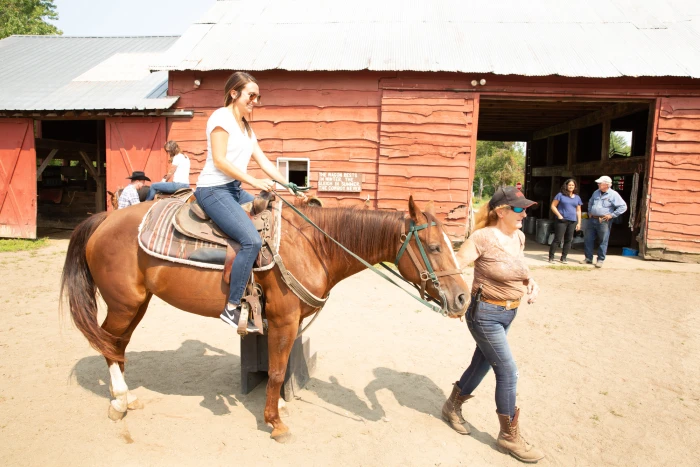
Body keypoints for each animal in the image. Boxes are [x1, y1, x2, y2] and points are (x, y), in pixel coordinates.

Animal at [58, 197, 464, 442]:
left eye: (451, 244)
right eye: (433, 247)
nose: (461, 298)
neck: (314, 245)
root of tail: (104, 219)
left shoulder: (284, 322)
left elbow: (277, 367)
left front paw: (278, 406)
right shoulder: (283, 319)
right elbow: (277, 370)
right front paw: (275, 421)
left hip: (136, 303)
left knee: (117, 344)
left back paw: (125, 397)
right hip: (124, 303)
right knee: (109, 343)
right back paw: (118, 403)